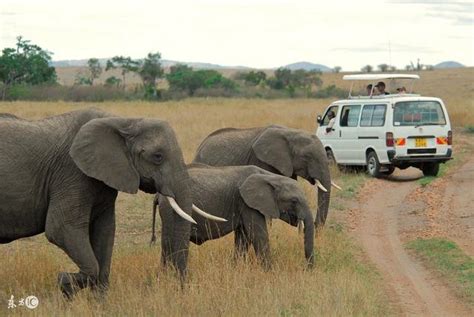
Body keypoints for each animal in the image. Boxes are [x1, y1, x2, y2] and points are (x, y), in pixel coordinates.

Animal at [0, 107, 218, 298]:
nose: (180, 289)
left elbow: (105, 231)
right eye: (157, 156)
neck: (123, 121)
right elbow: (60, 228)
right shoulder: (71, 172)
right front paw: (65, 284)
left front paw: (98, 303)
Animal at [151, 163, 314, 276]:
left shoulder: (243, 205)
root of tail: (159, 195)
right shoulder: (247, 203)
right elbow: (258, 235)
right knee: (171, 242)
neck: (269, 176)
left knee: (166, 244)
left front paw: (236, 269)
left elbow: (243, 238)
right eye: (294, 201)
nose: (307, 269)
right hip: (171, 211)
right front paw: (271, 273)